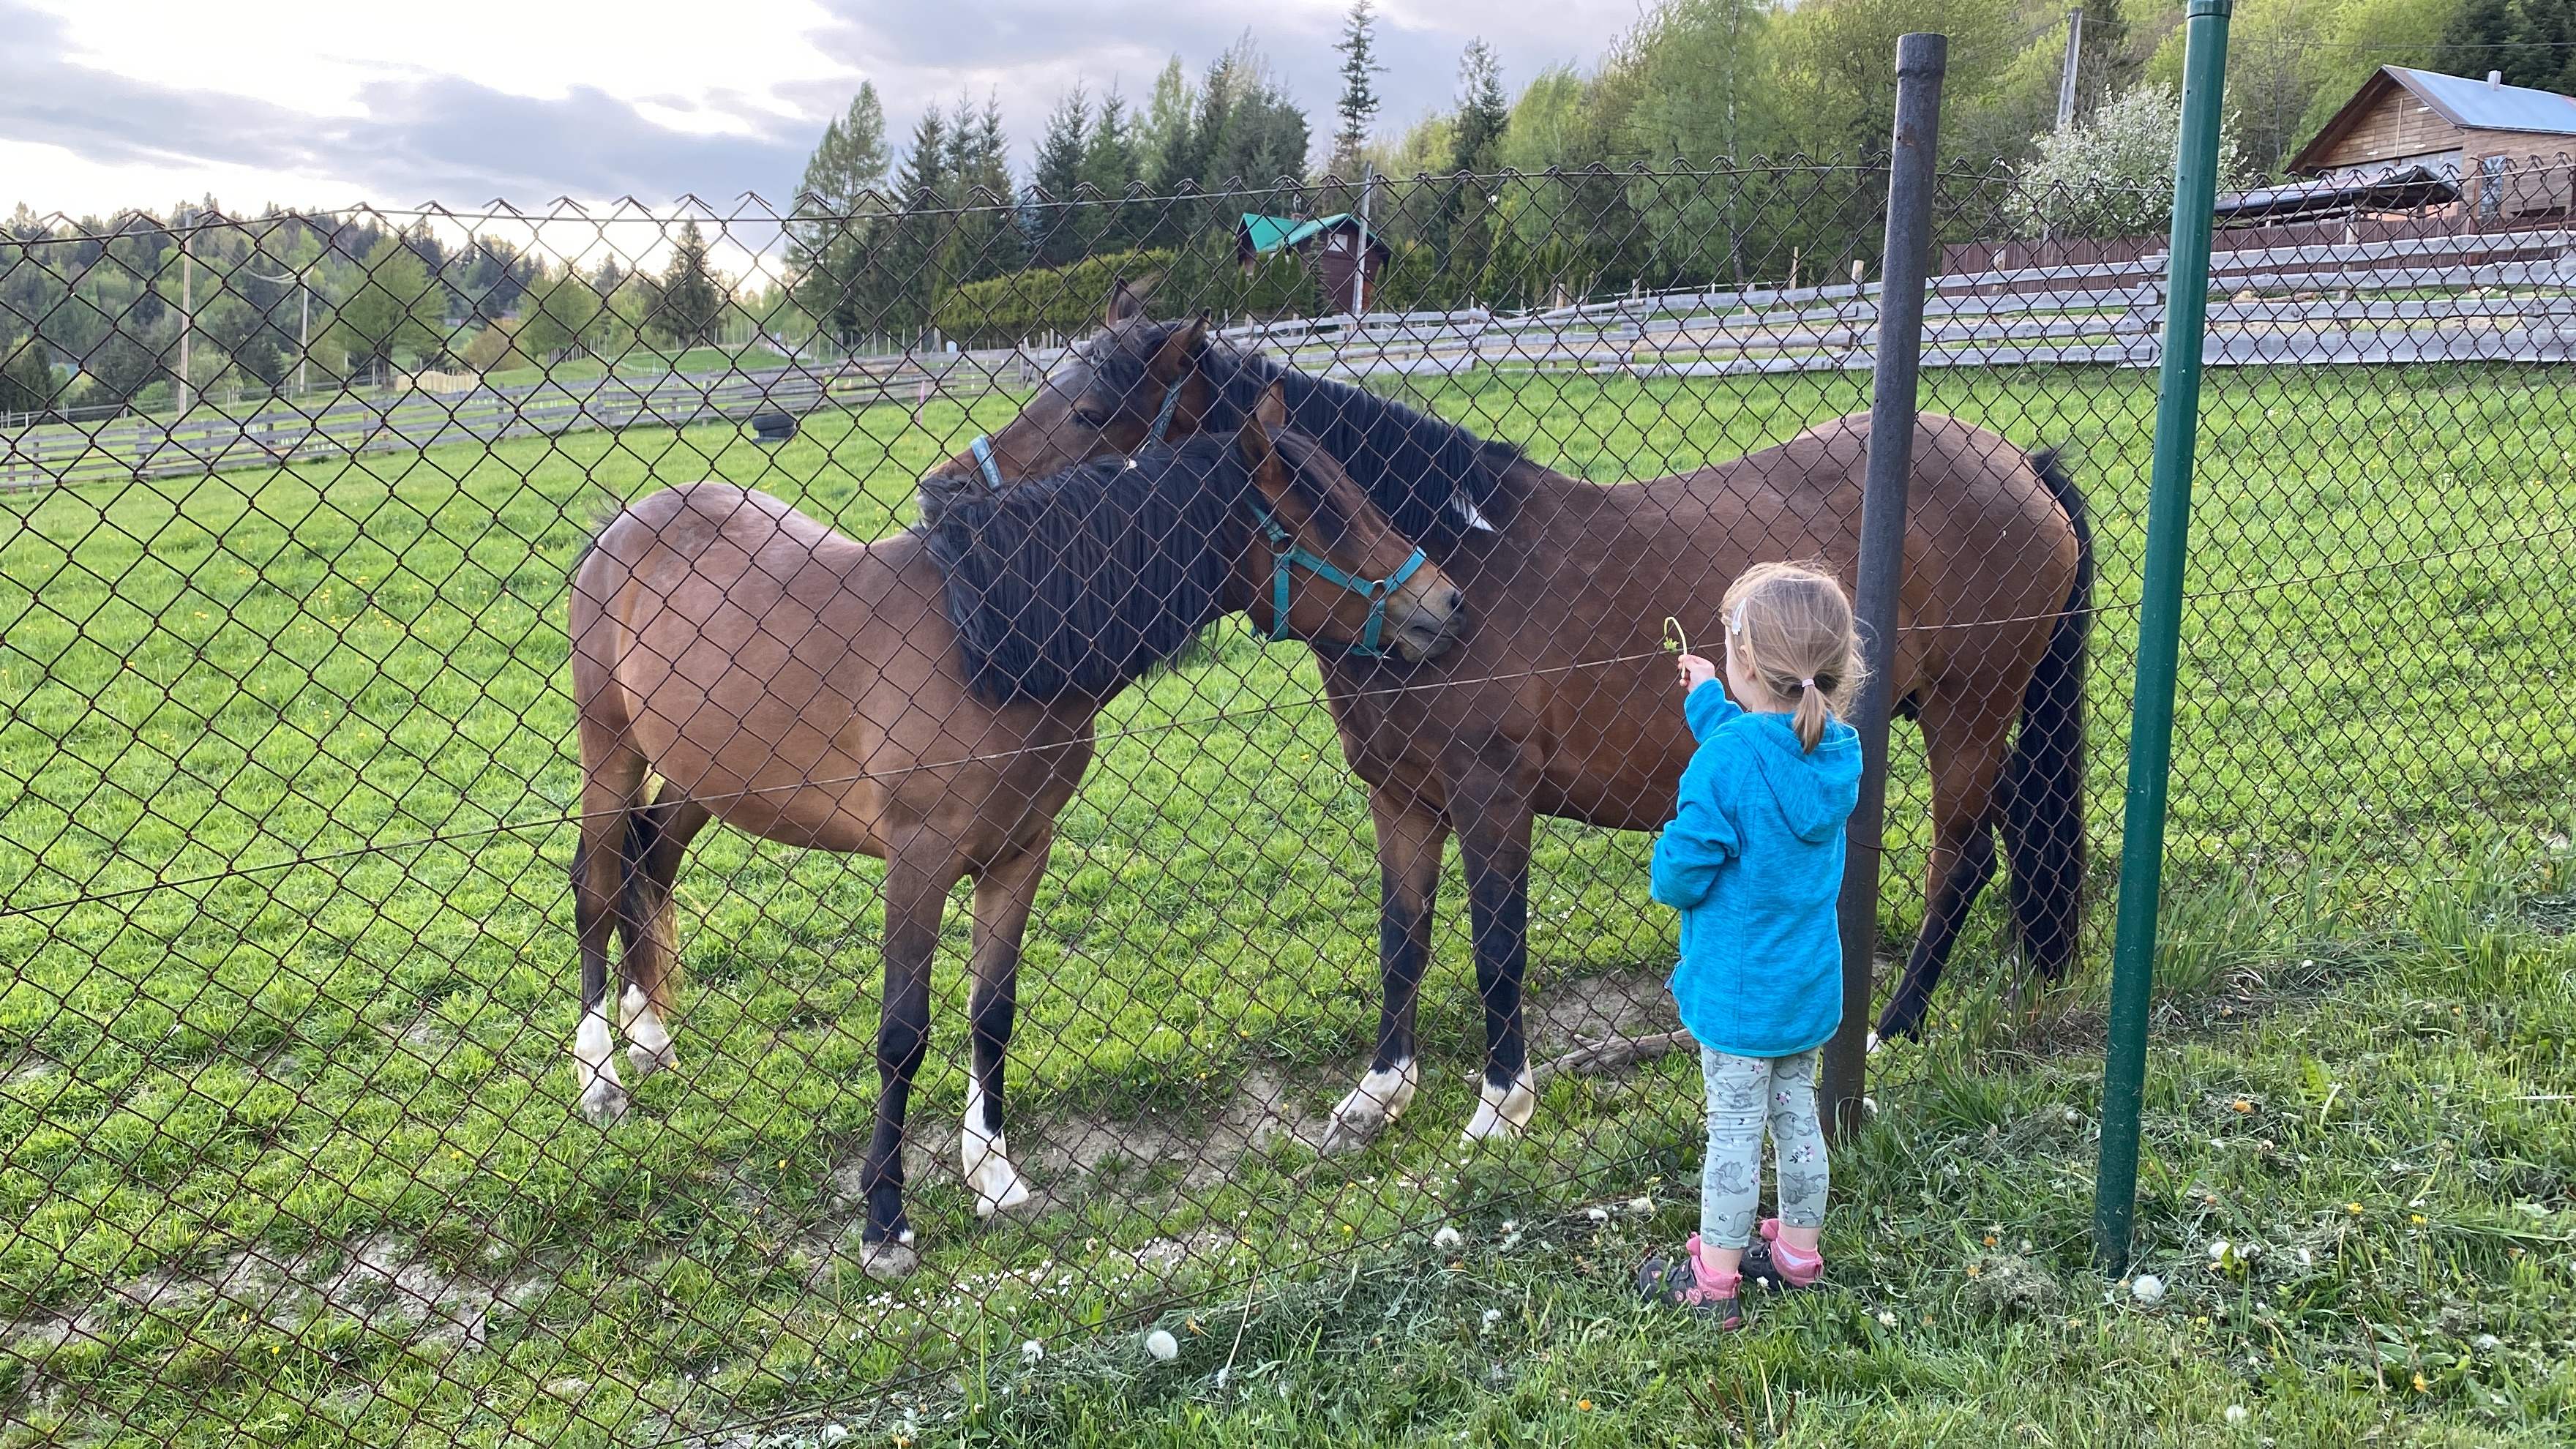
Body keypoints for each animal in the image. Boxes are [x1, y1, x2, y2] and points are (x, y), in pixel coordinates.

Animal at [566, 386, 1463, 1273]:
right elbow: (903, 1032)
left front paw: (994, 1176)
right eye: (1321, 519)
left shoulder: (1021, 853)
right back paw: (599, 1077)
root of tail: (624, 524)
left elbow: (991, 1014)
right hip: (609, 753)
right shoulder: (918, 860)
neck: (985, 648)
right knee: (598, 887)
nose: (1443, 604)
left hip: (701, 774)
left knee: (654, 863)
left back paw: (649, 1034)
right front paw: (884, 1219)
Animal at [927, 290, 2092, 1150]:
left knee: (1960, 859)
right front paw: (1380, 1093)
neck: (1452, 566)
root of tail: (2020, 465)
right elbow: (1403, 942)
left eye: (1088, 412)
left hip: (1968, 715)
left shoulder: (1495, 800)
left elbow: (1496, 947)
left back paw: (1896, 1027)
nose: (940, 494)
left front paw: (1500, 1106)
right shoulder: (1402, 799)